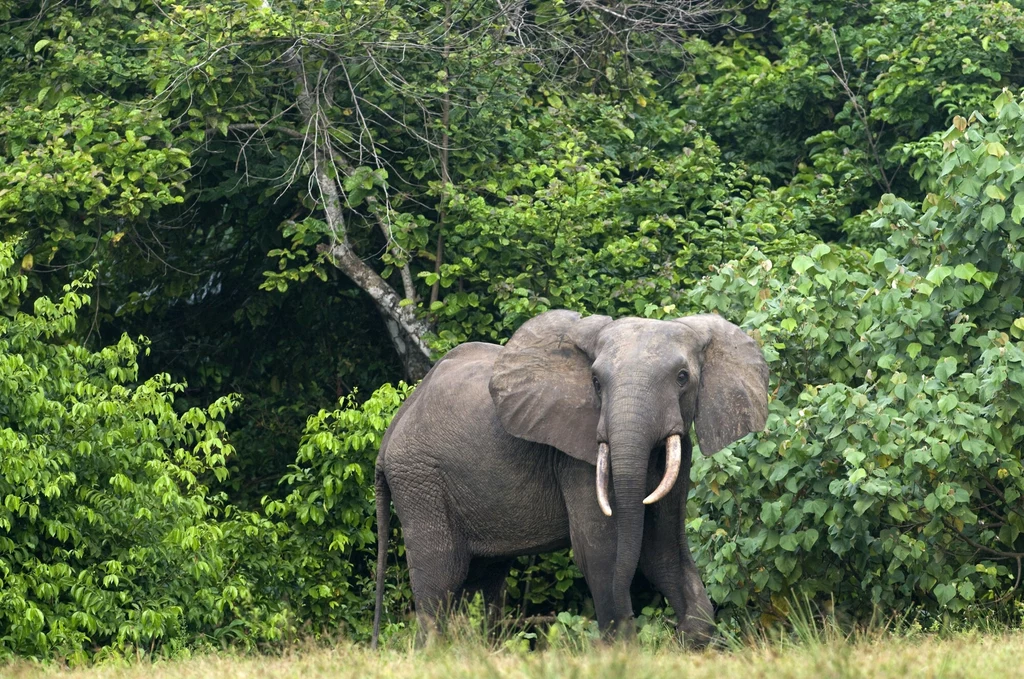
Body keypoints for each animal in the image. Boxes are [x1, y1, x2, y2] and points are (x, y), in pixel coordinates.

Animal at [370, 309, 770, 647]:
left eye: (683, 378)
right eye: (595, 381)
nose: (673, 630)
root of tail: (391, 431)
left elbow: (663, 548)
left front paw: (693, 636)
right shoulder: (576, 458)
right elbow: (600, 549)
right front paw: (624, 652)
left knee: (484, 580)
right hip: (420, 479)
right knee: (442, 575)